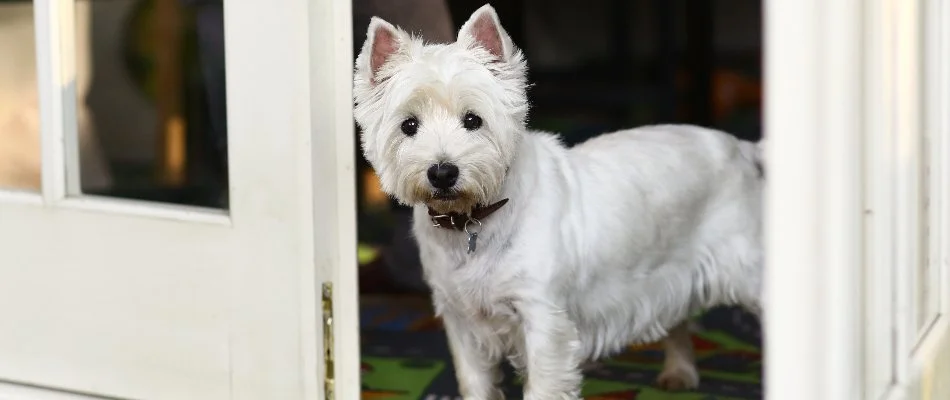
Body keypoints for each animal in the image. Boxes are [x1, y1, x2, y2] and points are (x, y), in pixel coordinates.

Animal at [354, 4, 764, 398]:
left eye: (473, 120)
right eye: (409, 125)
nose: (442, 173)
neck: (473, 219)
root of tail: (737, 146)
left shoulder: (543, 318)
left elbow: (543, 384)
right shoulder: (462, 320)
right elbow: (475, 383)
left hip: (744, 270)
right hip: (670, 270)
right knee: (675, 318)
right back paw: (679, 373)